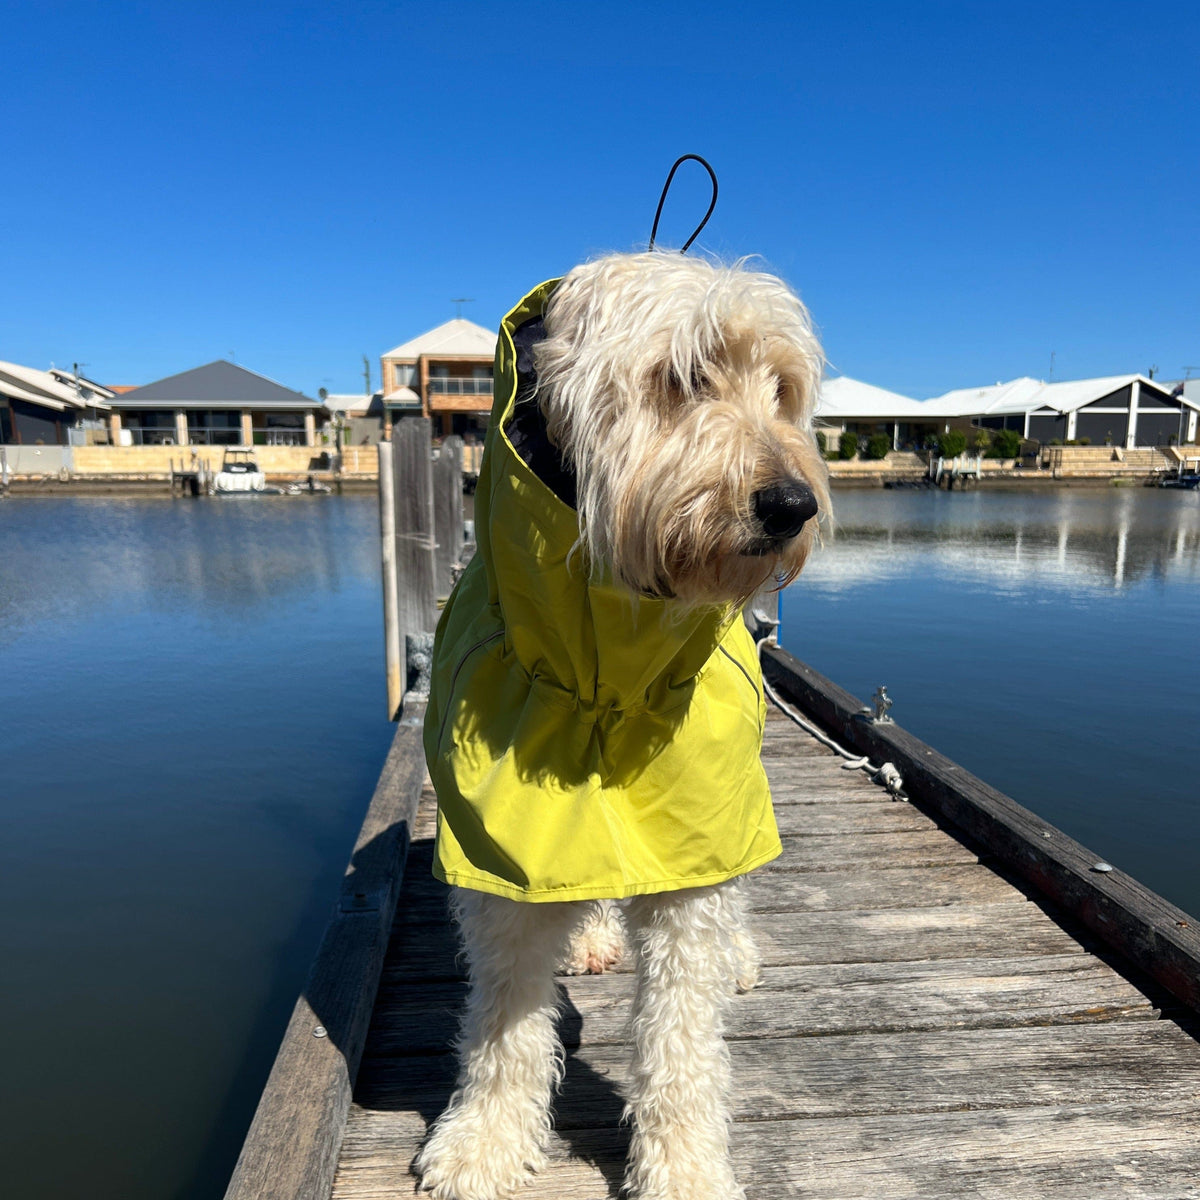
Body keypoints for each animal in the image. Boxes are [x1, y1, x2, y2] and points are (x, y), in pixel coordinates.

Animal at [417, 248, 830, 1195]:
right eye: (684, 375)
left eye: (783, 390)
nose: (794, 505)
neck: (607, 682)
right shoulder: (501, 847)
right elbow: (505, 1022)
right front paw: (485, 1139)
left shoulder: (695, 842)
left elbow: (682, 1036)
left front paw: (684, 1169)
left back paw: (736, 956)